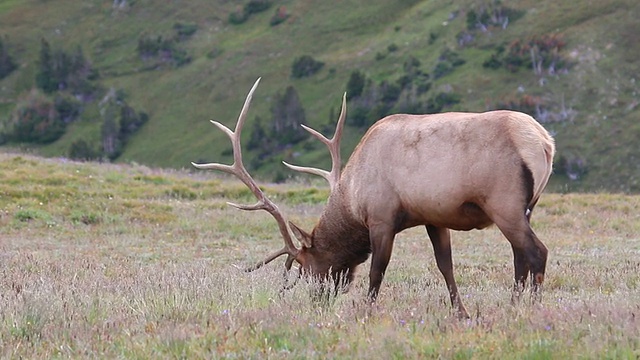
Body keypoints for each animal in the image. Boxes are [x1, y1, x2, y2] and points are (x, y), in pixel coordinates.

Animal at [194, 79, 556, 318]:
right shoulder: (433, 217)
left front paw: (365, 312)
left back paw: (531, 310)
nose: (316, 301)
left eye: (307, 268)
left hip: (504, 203)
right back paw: (513, 306)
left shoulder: (382, 217)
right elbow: (445, 266)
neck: (353, 197)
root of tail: (544, 142)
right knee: (519, 257)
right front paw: (462, 313)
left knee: (536, 251)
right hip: (524, 208)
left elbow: (376, 271)